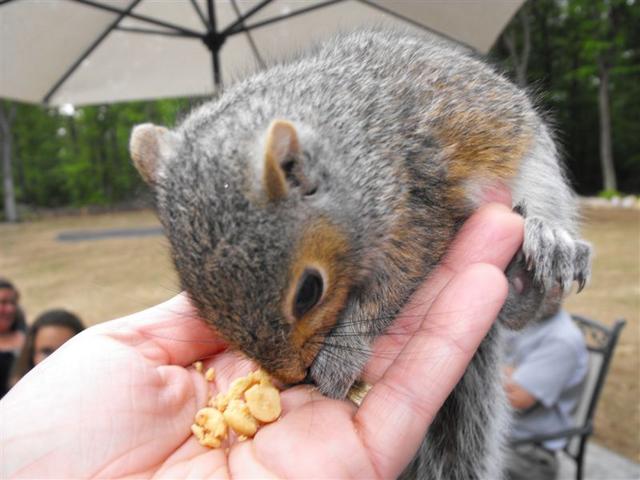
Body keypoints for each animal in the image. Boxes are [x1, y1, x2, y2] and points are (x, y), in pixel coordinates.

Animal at [129, 29, 591, 479]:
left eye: (309, 292)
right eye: (192, 292)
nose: (292, 375)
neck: (351, 158)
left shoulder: (414, 213)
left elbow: (387, 294)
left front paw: (340, 357)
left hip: (536, 169)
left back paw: (543, 252)